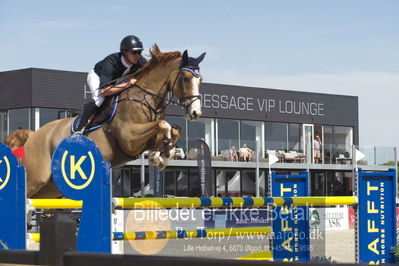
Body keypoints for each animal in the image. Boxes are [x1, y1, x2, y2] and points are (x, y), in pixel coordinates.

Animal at [19, 44, 206, 197]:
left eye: (200, 80)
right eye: (186, 78)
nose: (195, 112)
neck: (144, 97)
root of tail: (33, 135)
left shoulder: (147, 139)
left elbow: (174, 129)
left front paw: (161, 157)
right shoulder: (130, 140)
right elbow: (164, 124)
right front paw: (160, 157)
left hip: (50, 186)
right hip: (37, 178)